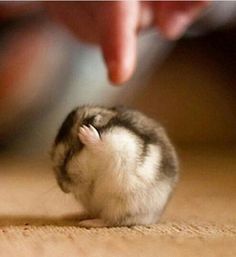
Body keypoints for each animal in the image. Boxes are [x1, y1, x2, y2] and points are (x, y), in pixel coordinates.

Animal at [50, 105, 178, 227]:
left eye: (69, 154)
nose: (63, 189)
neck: (95, 165)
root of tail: (153, 219)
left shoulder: (118, 144)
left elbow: (102, 144)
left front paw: (85, 132)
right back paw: (74, 216)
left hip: (122, 206)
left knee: (112, 221)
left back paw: (87, 223)